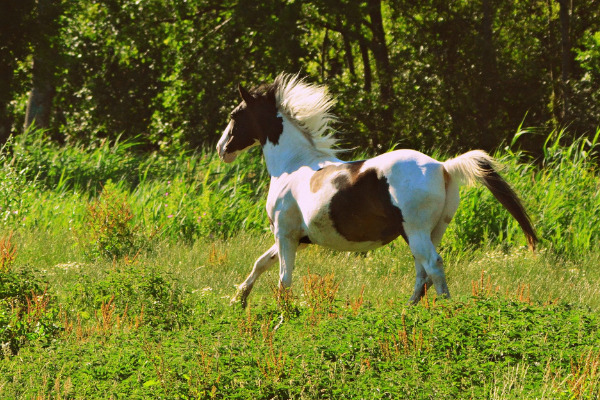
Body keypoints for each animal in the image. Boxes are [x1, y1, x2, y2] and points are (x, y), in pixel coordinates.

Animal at [217, 73, 540, 308]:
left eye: (235, 115)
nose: (222, 149)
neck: (292, 166)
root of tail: (443, 166)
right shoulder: (297, 237)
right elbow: (262, 263)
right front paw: (237, 300)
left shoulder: (285, 233)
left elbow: (284, 278)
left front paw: (283, 314)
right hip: (430, 231)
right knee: (422, 272)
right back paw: (409, 309)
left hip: (416, 231)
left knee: (433, 266)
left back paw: (445, 309)